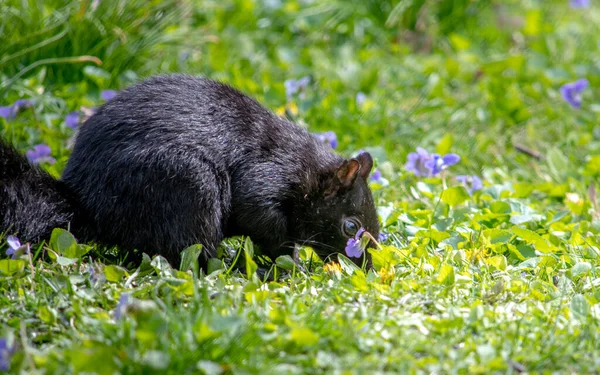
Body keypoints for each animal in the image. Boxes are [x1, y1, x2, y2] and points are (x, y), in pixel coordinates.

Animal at [2, 75, 380, 268]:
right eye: (351, 226)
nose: (365, 265)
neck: (304, 168)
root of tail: (87, 204)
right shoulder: (266, 179)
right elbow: (267, 224)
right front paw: (292, 265)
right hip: (186, 186)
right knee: (185, 251)